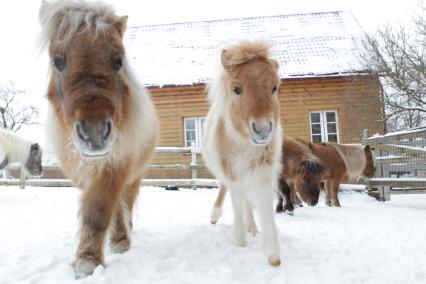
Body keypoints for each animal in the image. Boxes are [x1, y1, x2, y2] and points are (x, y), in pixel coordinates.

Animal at [38, 0, 157, 278]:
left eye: (118, 61)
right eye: (58, 61)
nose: (94, 133)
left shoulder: (116, 165)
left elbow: (99, 210)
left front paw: (88, 260)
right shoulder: (84, 174)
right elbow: (100, 209)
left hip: (135, 175)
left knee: (126, 200)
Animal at [202, 40, 282, 266]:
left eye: (274, 87)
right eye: (237, 89)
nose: (263, 129)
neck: (245, 145)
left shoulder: (264, 168)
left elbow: (263, 201)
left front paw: (272, 253)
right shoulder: (231, 170)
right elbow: (236, 199)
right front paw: (239, 241)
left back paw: (252, 227)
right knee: (226, 189)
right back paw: (215, 215)